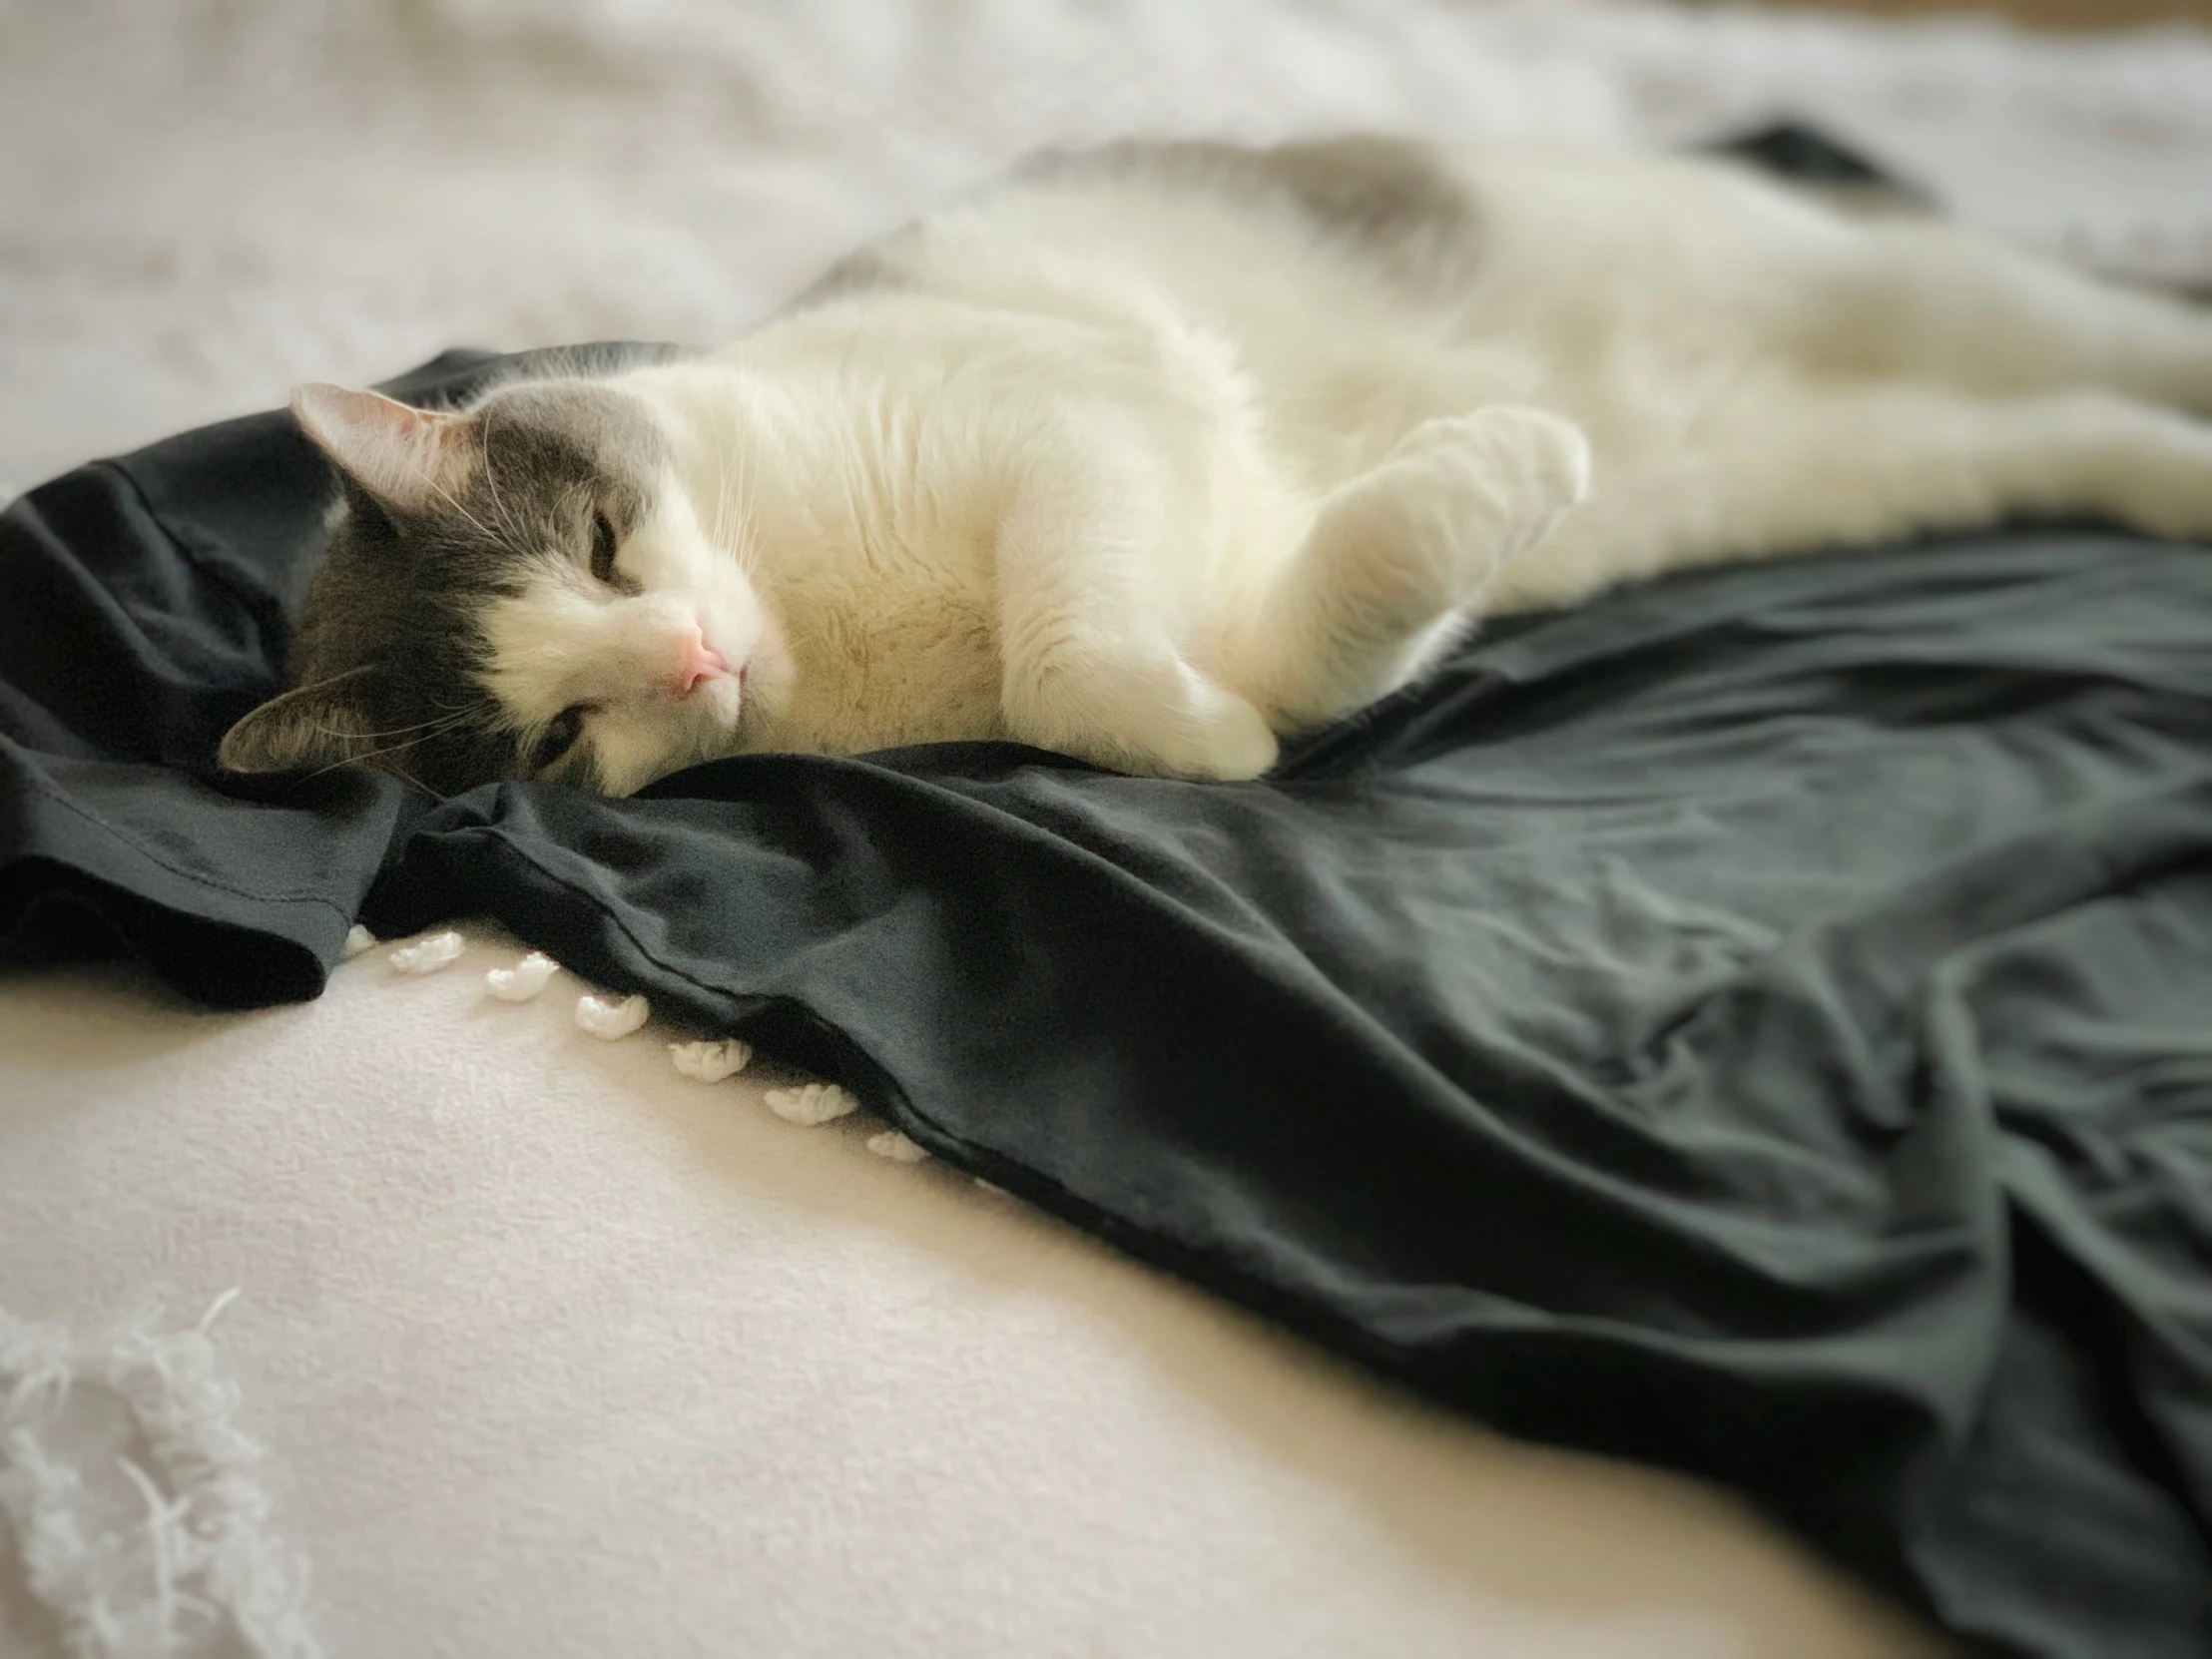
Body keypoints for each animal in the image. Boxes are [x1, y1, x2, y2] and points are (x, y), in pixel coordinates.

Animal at [216, 136, 2212, 801]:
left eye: (610, 542)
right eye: (553, 733)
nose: (694, 659)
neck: (824, 622)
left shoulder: (1081, 424)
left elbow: (1061, 654)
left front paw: (1188, 726)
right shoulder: (1223, 553)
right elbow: (1276, 648)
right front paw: (1235, 724)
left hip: (1877, 284)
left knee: (2098, 333)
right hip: (1850, 468)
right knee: (2049, 440)